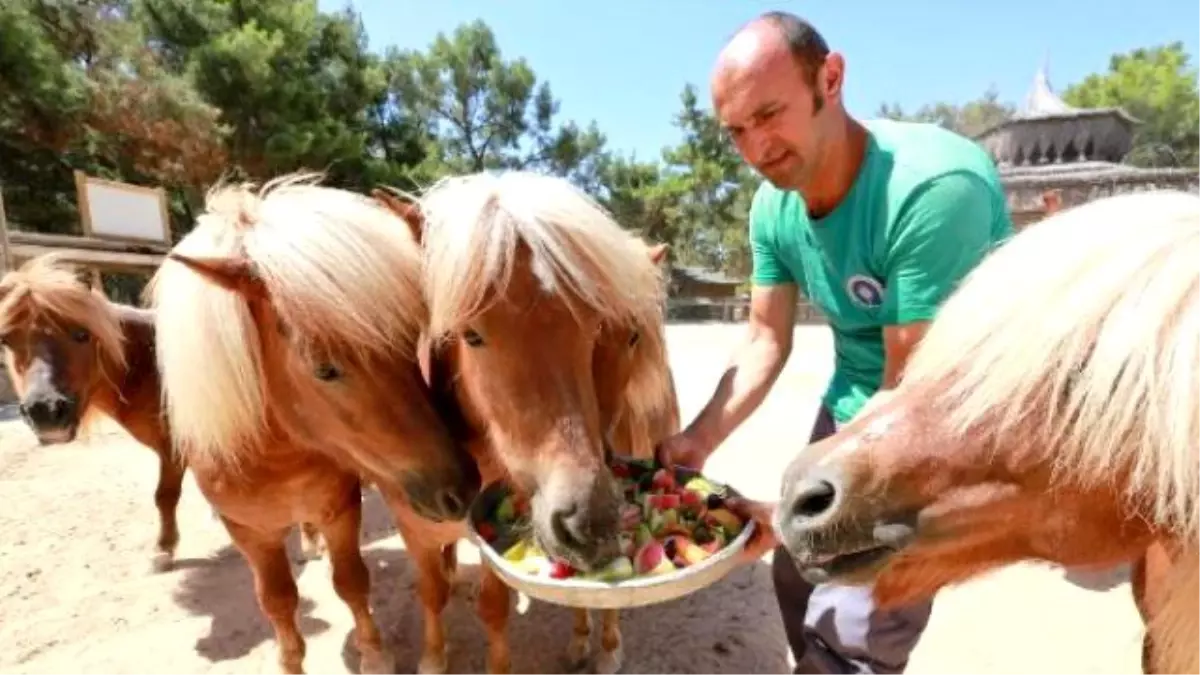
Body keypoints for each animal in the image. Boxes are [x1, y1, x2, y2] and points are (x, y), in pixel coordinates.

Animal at [150, 174, 482, 672]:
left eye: (413, 343)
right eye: (324, 369)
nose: (461, 486)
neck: (275, 456)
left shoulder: (340, 506)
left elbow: (351, 580)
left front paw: (374, 655)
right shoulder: (247, 532)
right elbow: (278, 601)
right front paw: (291, 660)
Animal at [369, 171, 681, 672]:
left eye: (592, 327)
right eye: (470, 335)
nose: (591, 520)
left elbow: (495, 609)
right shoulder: (412, 532)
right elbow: (431, 592)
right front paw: (433, 657)